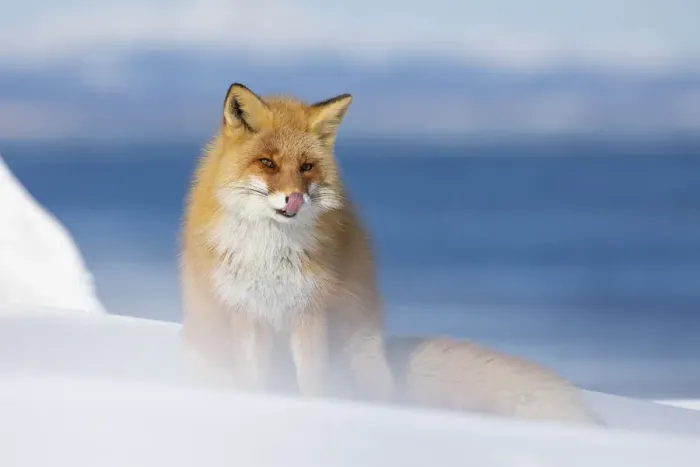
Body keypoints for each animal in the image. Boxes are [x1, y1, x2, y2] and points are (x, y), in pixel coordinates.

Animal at [178, 82, 394, 401]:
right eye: (267, 163)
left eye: (306, 167)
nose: (294, 198)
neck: (271, 256)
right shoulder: (248, 311)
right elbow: (251, 379)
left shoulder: (310, 310)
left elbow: (312, 381)